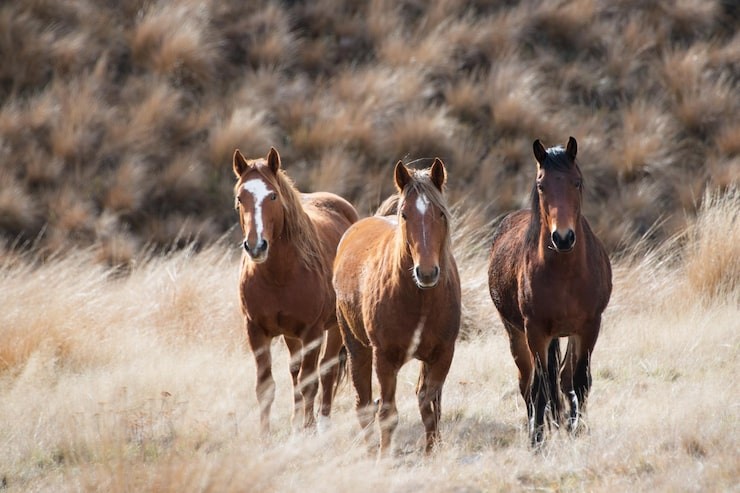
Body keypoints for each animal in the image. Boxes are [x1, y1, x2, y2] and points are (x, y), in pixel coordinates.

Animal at [233, 146, 358, 435]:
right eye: (240, 198)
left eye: (273, 196)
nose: (256, 246)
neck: (279, 276)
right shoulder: (255, 330)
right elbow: (266, 386)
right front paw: (266, 436)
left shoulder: (312, 332)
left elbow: (310, 381)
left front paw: (308, 431)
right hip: (291, 336)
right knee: (295, 371)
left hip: (334, 328)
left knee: (326, 371)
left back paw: (322, 425)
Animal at [333, 158, 461, 457]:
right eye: (405, 215)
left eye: (440, 213)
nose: (427, 272)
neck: (420, 299)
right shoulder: (384, 358)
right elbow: (388, 413)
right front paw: (383, 458)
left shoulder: (443, 354)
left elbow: (429, 405)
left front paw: (431, 452)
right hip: (357, 348)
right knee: (364, 404)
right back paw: (370, 451)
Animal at [487, 137, 612, 448]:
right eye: (541, 184)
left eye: (576, 182)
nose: (563, 237)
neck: (564, 273)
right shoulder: (536, 331)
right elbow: (541, 387)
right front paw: (537, 441)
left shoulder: (589, 327)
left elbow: (579, 381)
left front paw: (577, 430)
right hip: (516, 334)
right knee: (528, 384)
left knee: (564, 379)